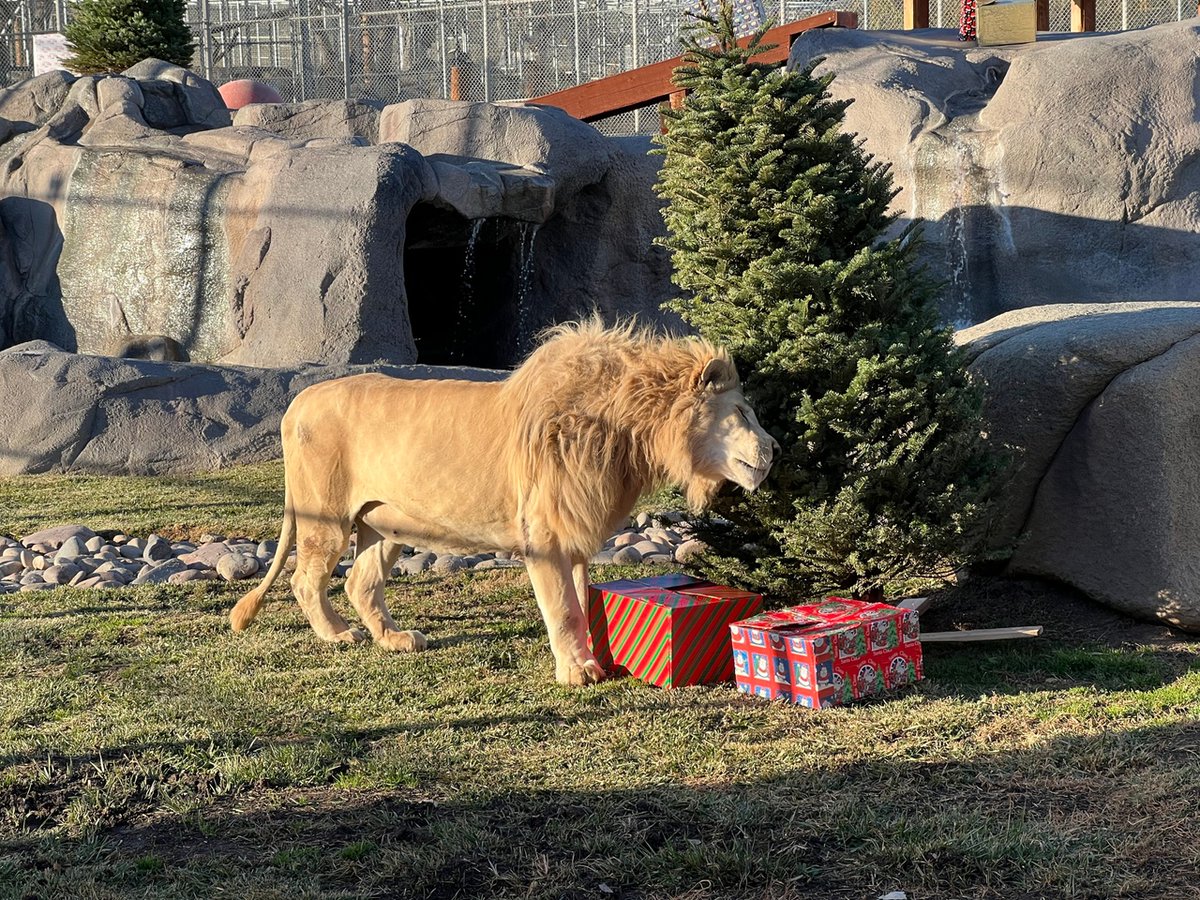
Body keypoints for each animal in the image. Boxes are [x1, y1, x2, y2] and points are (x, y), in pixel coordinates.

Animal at [229, 321, 782, 686]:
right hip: (326, 515)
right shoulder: (546, 534)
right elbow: (562, 607)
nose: (775, 449)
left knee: (360, 583)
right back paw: (338, 635)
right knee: (306, 579)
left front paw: (592, 658)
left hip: (384, 522)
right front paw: (578, 671)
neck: (629, 430)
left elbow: (581, 603)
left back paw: (396, 639)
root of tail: (298, 400)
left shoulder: (576, 533)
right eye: (741, 413)